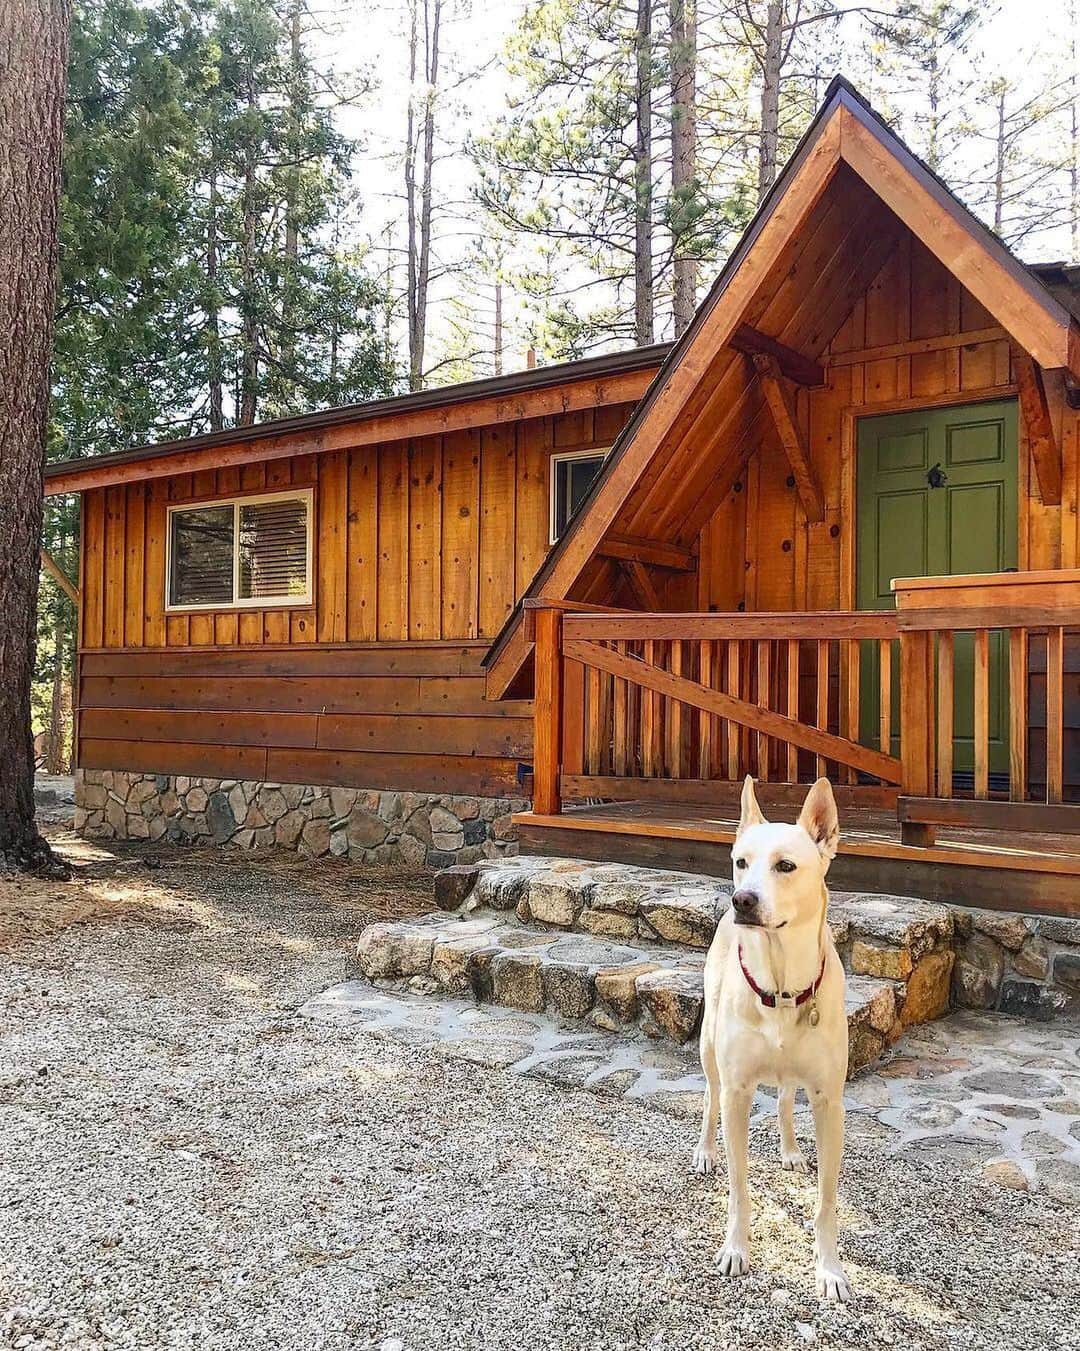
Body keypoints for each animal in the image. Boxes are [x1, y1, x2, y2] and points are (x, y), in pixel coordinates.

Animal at [692, 778, 854, 1302]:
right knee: (710, 1095)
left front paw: (829, 1269)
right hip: (709, 1051)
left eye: (786, 866)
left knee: (784, 1098)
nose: (741, 900)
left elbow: (826, 1201)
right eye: (741, 861)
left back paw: (790, 1150)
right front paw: (736, 1248)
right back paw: (705, 1151)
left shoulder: (829, 1101)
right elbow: (739, 1186)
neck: (781, 984)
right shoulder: (738, 1092)